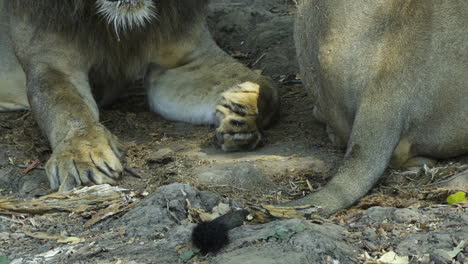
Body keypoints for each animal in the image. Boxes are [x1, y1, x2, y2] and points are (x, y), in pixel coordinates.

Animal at [0, 1, 278, 193]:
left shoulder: (183, 62)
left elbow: (268, 86)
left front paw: (241, 110)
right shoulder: (51, 65)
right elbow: (66, 106)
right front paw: (81, 155)